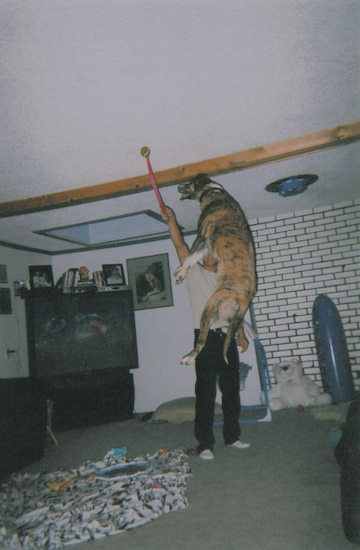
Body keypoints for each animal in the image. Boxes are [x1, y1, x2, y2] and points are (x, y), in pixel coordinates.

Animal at [174, 175, 256, 364]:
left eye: (190, 181)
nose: (177, 186)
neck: (212, 191)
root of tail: (246, 296)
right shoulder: (207, 246)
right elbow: (192, 259)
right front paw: (182, 271)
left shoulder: (202, 236)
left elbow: (188, 256)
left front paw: (180, 272)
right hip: (230, 314)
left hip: (210, 307)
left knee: (202, 341)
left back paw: (188, 358)